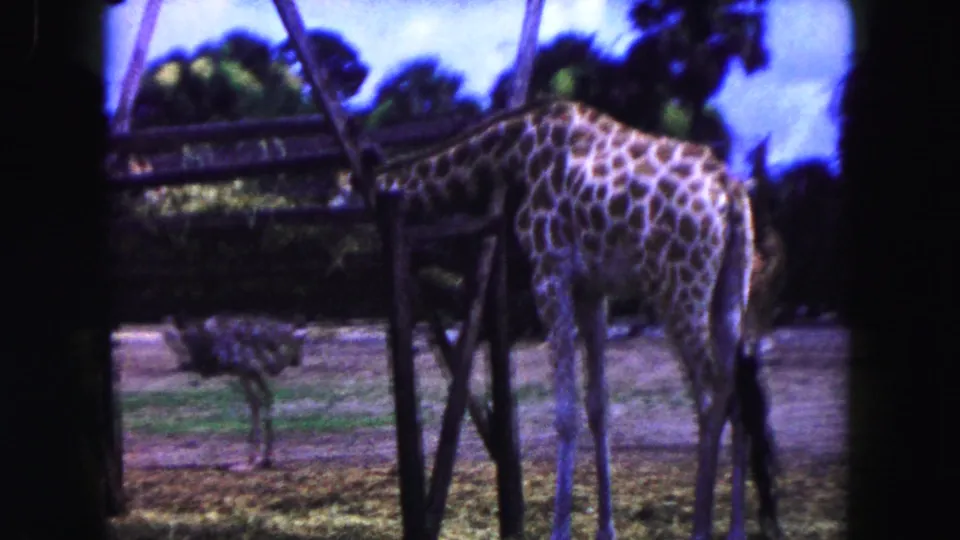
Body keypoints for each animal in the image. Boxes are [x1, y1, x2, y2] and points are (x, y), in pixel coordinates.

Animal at [349, 99, 782, 540]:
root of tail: (731, 195)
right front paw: (606, 529)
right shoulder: (593, 287)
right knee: (737, 396)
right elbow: (597, 406)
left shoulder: (550, 270)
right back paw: (737, 529)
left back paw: (701, 527)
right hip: (732, 289)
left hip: (680, 289)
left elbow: (565, 412)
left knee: (710, 398)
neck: (515, 151)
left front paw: (560, 529)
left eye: (358, 196)